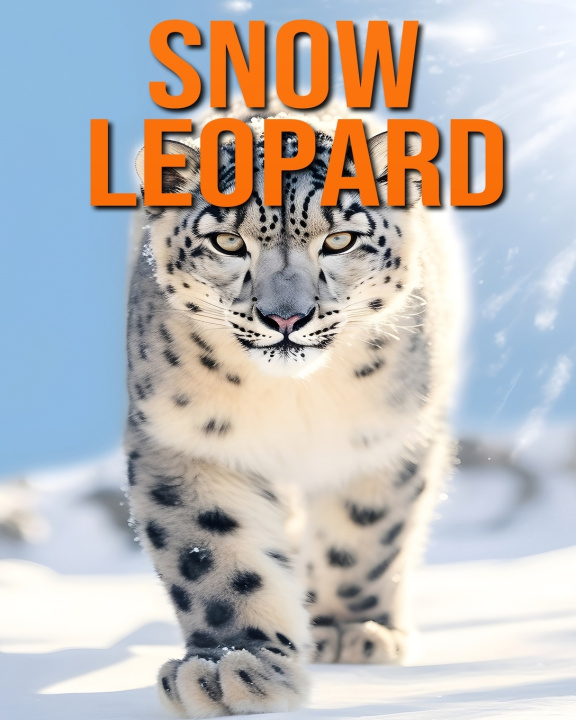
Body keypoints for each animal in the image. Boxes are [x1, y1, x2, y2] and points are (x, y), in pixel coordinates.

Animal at [125, 104, 464, 718]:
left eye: (341, 239)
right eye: (227, 242)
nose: (287, 317)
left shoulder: (386, 439)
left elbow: (366, 535)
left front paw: (353, 630)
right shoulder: (189, 444)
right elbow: (212, 554)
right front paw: (230, 665)